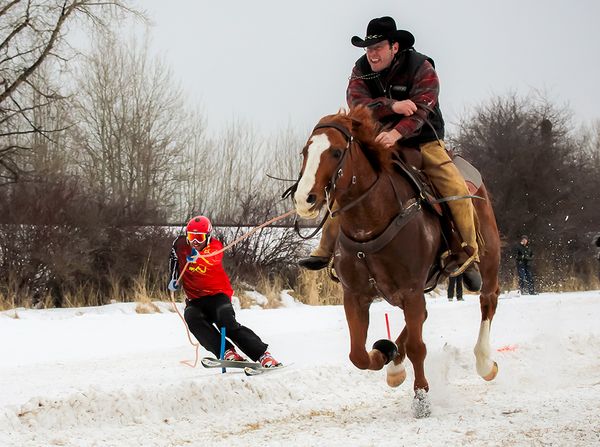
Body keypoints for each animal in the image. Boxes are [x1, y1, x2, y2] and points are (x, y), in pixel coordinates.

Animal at [292, 107, 500, 418]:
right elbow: (358, 354)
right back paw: (394, 362)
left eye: (336, 152)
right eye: (306, 151)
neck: (372, 219)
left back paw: (485, 362)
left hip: (488, 258)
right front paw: (385, 354)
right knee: (420, 319)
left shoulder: (411, 290)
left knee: (488, 300)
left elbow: (417, 347)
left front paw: (421, 398)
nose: (304, 199)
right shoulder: (355, 295)